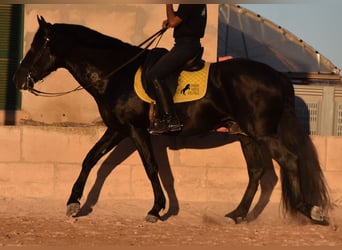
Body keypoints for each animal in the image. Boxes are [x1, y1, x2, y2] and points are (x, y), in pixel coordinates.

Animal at [12, 16, 330, 226]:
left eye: (38, 46)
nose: (18, 79)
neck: (117, 73)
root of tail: (276, 76)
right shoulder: (117, 129)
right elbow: (90, 159)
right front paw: (73, 204)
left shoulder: (135, 129)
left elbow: (151, 167)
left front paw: (156, 210)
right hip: (245, 134)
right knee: (257, 172)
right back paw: (237, 214)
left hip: (261, 132)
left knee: (289, 160)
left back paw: (308, 211)